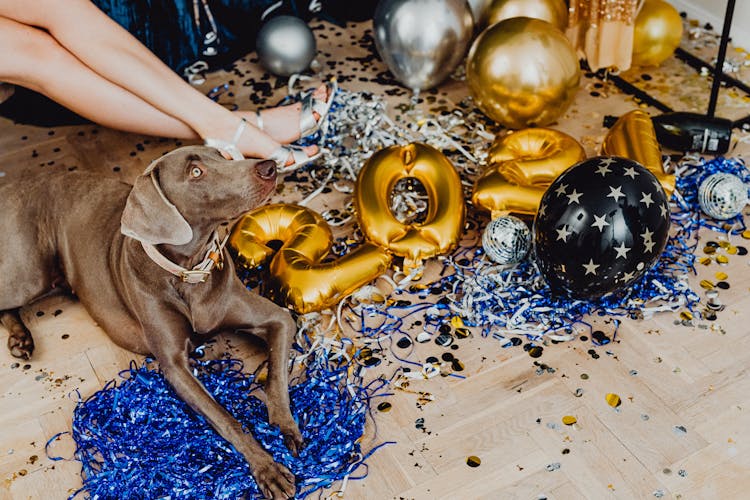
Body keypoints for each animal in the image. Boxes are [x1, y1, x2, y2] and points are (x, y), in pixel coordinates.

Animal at [2, 146, 306, 498]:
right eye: (196, 172)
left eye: (221, 155)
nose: (269, 167)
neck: (189, 273)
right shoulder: (174, 367)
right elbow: (225, 418)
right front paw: (267, 468)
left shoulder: (279, 319)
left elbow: (277, 378)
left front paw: (286, 428)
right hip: (31, 274)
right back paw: (20, 338)